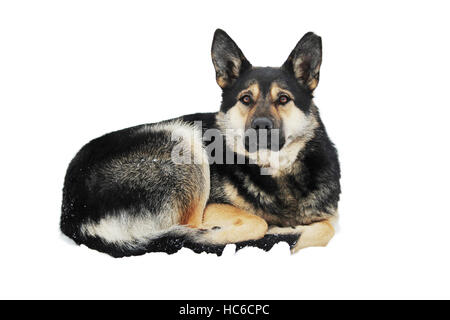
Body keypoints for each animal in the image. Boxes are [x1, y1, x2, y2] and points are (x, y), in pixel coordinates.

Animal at [60, 29, 342, 258]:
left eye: (283, 99)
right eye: (246, 99)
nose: (261, 127)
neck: (275, 171)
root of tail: (72, 214)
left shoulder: (329, 216)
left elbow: (327, 227)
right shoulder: (212, 207)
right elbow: (261, 223)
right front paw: (280, 233)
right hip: (183, 143)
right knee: (192, 234)